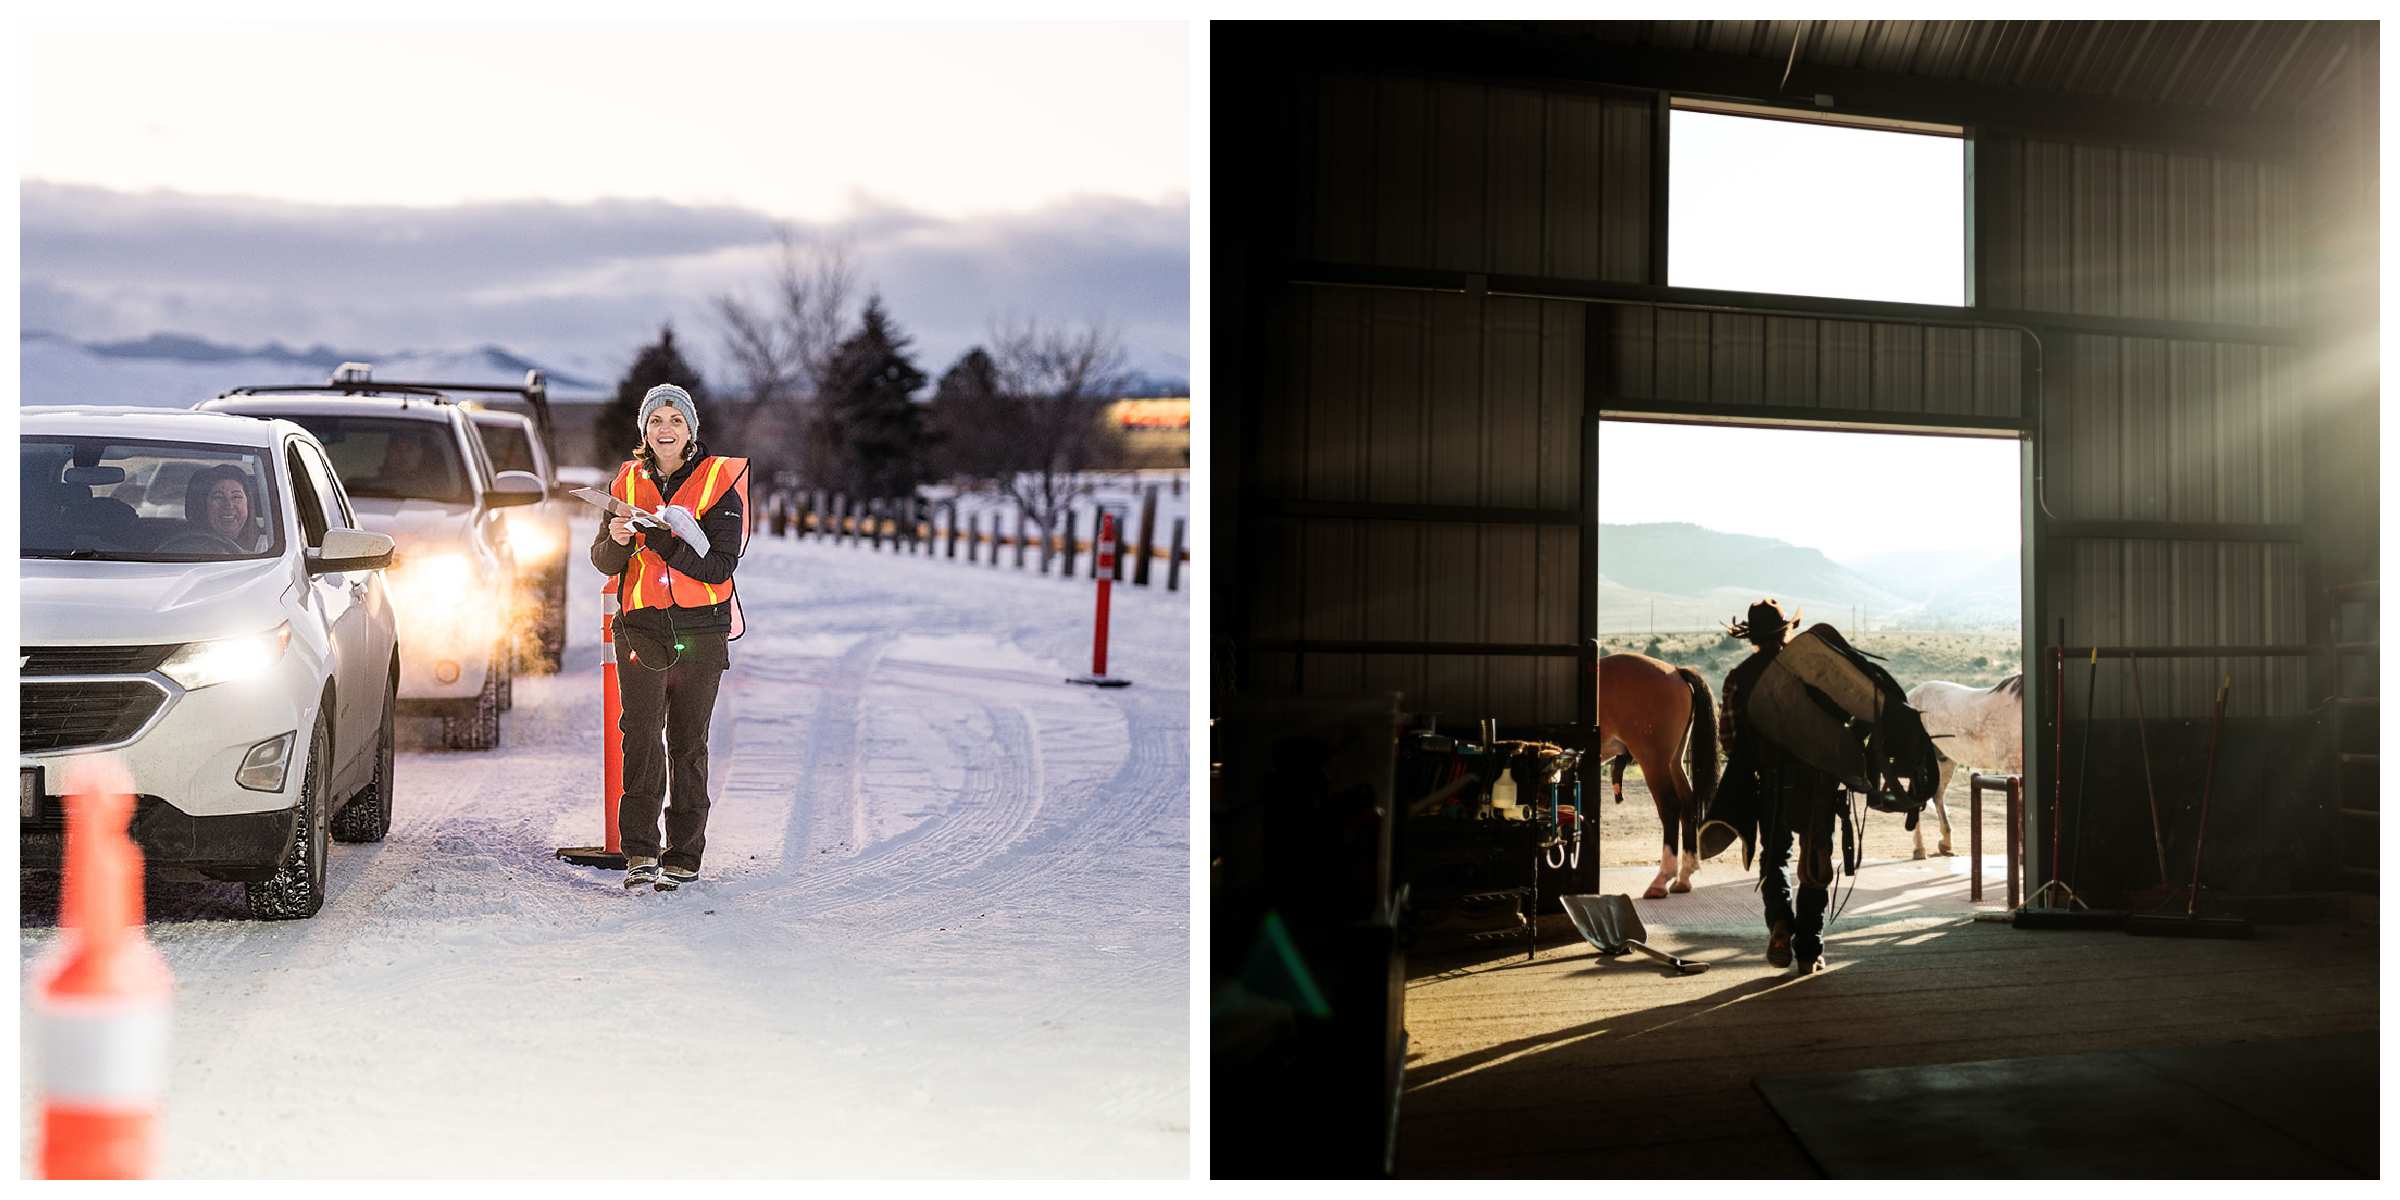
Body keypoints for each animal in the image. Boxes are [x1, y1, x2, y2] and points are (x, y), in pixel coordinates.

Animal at [1603, 652, 1718, 897]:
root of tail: (1675, 671)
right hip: (1673, 762)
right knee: (1688, 805)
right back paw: (1684, 876)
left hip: (1653, 761)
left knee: (1670, 806)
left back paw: (1661, 879)